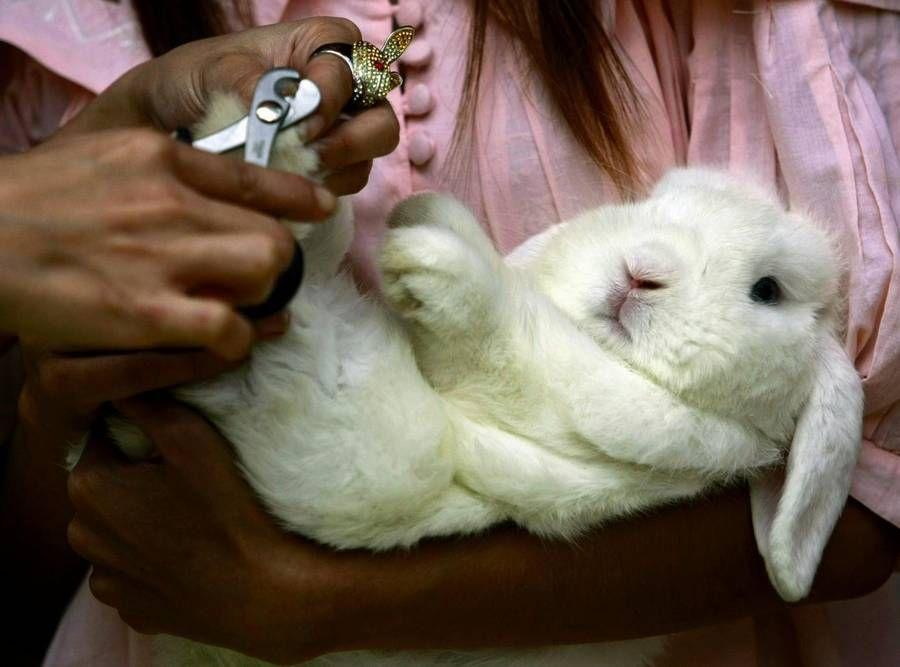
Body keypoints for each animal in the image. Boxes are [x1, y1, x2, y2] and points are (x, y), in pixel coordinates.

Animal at [102, 95, 860, 667]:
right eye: (652, 205)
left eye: (767, 290)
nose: (641, 272)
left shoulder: (378, 459)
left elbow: (334, 344)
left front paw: (426, 263)